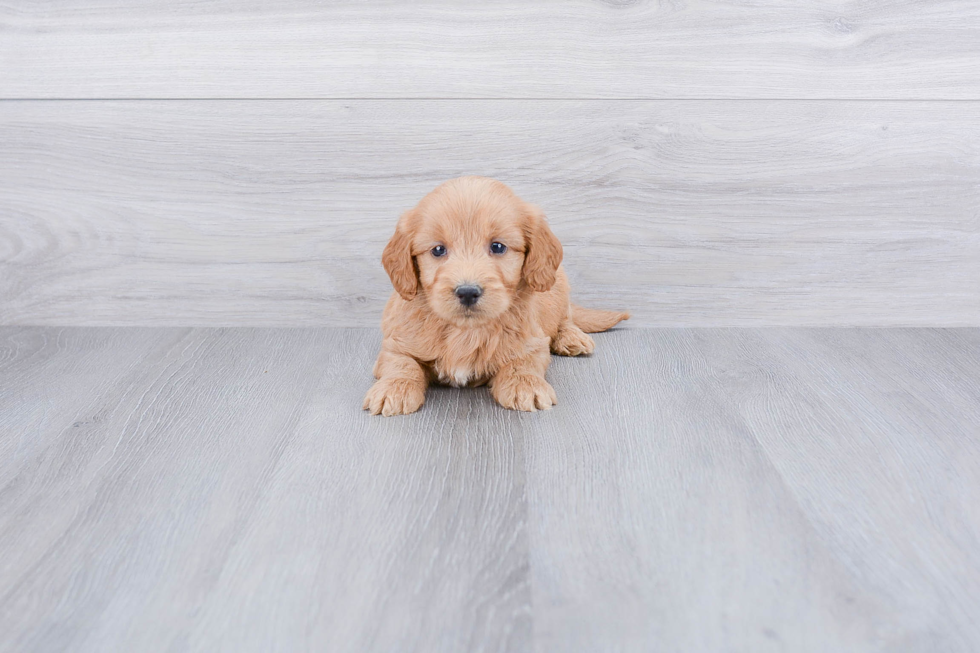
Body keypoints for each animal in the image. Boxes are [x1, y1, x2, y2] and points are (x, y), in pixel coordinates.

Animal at [364, 176, 632, 416]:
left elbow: (522, 362)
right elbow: (402, 363)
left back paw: (572, 337)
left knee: (566, 317)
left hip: (559, 284)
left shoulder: (533, 341)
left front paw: (525, 384)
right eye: (438, 250)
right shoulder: (395, 343)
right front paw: (394, 389)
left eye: (498, 247)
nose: (468, 292)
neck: (466, 330)